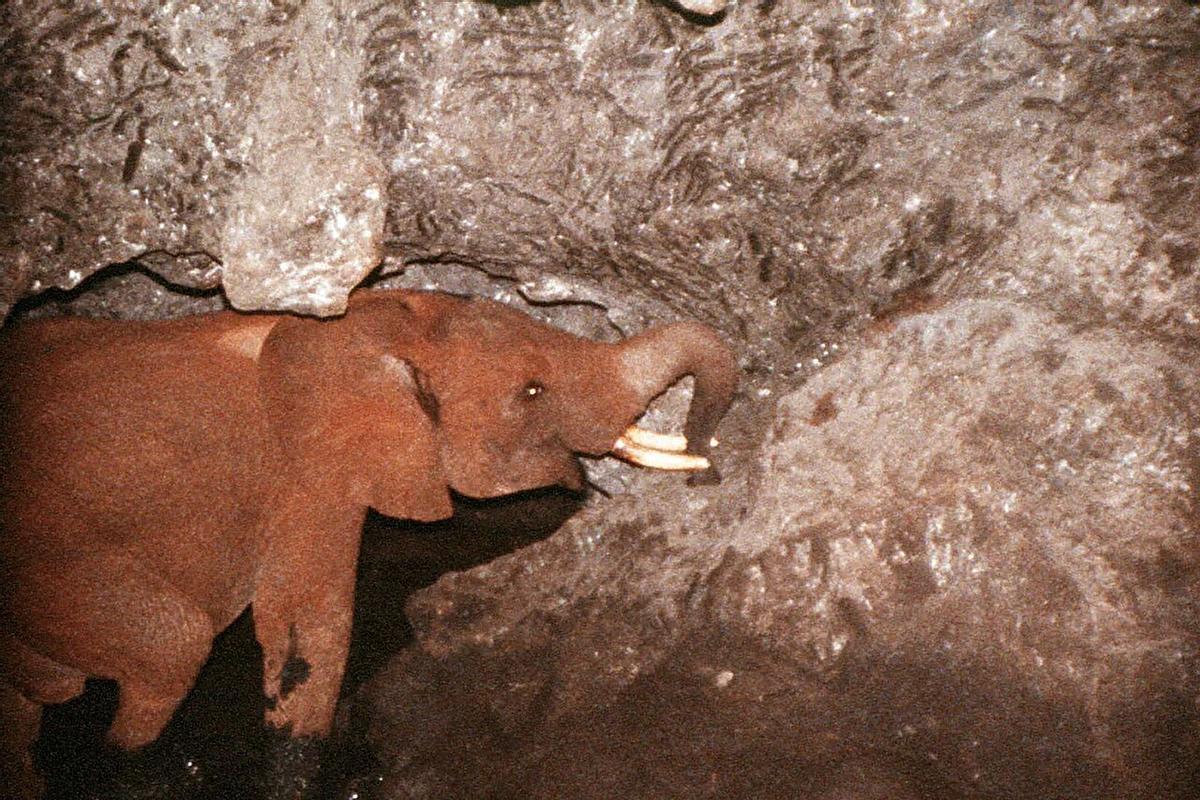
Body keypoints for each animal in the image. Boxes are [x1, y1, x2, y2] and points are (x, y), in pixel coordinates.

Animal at [0, 289, 738, 797]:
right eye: (532, 391)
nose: (707, 463)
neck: (371, 322)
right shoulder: (307, 475)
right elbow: (309, 628)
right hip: (44, 565)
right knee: (171, 645)